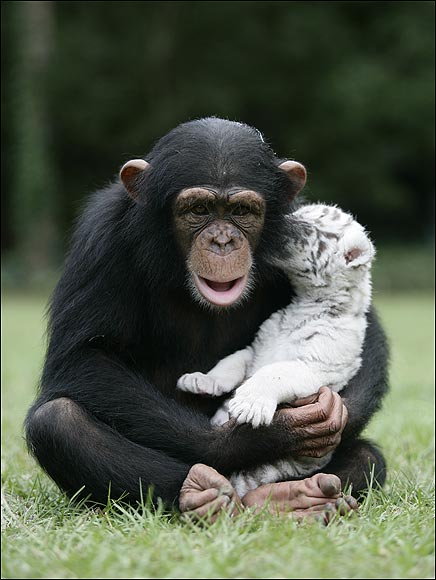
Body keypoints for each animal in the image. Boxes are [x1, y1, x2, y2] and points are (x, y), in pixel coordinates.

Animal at [24, 118, 388, 520]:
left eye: (242, 211)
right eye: (199, 208)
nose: (223, 241)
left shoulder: (322, 354)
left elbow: (298, 365)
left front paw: (316, 412)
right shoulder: (100, 235)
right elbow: (84, 356)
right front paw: (241, 419)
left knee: (367, 457)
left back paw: (292, 497)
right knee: (58, 421)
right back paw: (206, 492)